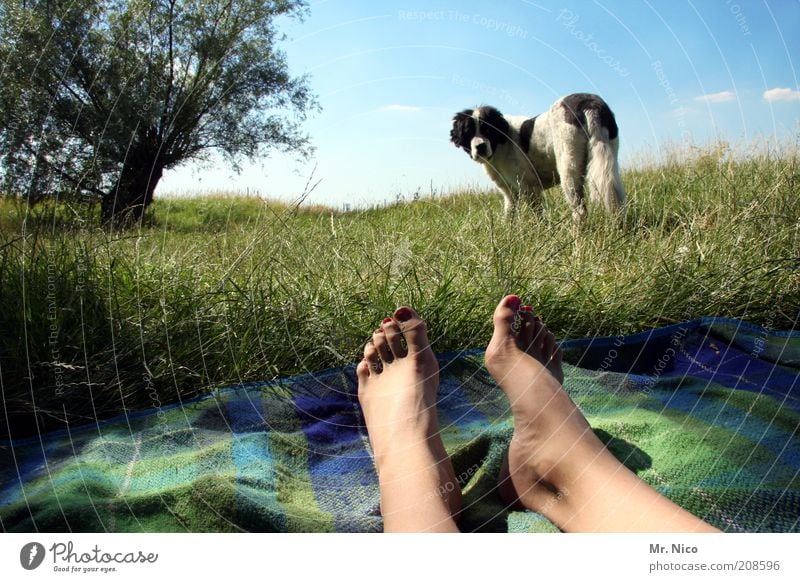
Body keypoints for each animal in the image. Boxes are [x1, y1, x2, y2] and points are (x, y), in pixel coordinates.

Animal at [450, 93, 624, 221]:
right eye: (468, 132)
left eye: (488, 130)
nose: (480, 147)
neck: (502, 140)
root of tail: (588, 101)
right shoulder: (510, 192)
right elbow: (509, 216)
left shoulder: (529, 188)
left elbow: (538, 215)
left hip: (569, 170)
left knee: (580, 211)